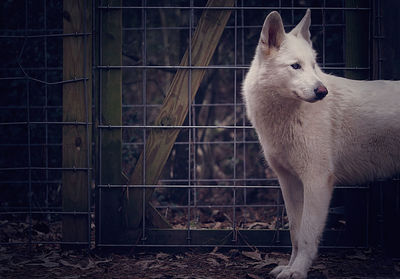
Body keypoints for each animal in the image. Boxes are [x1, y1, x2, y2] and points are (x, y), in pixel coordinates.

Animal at [242, 7, 400, 278]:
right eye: (296, 66)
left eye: (314, 65)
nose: (322, 91)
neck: (286, 116)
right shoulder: (290, 182)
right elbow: (295, 234)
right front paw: (289, 266)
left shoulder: (317, 180)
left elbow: (307, 235)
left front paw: (298, 271)